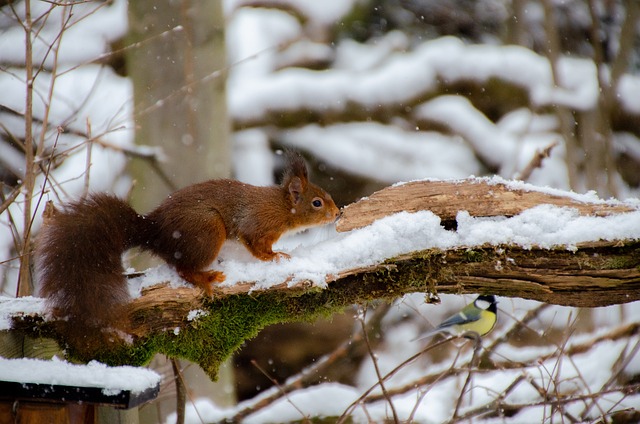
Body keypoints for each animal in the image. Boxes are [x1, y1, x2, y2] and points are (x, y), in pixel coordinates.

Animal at [36, 151, 340, 342]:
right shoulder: (257, 225)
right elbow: (255, 246)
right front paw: (274, 256)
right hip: (208, 231)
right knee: (182, 268)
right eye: (317, 203)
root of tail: (155, 231)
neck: (283, 208)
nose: (337, 213)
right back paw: (206, 278)